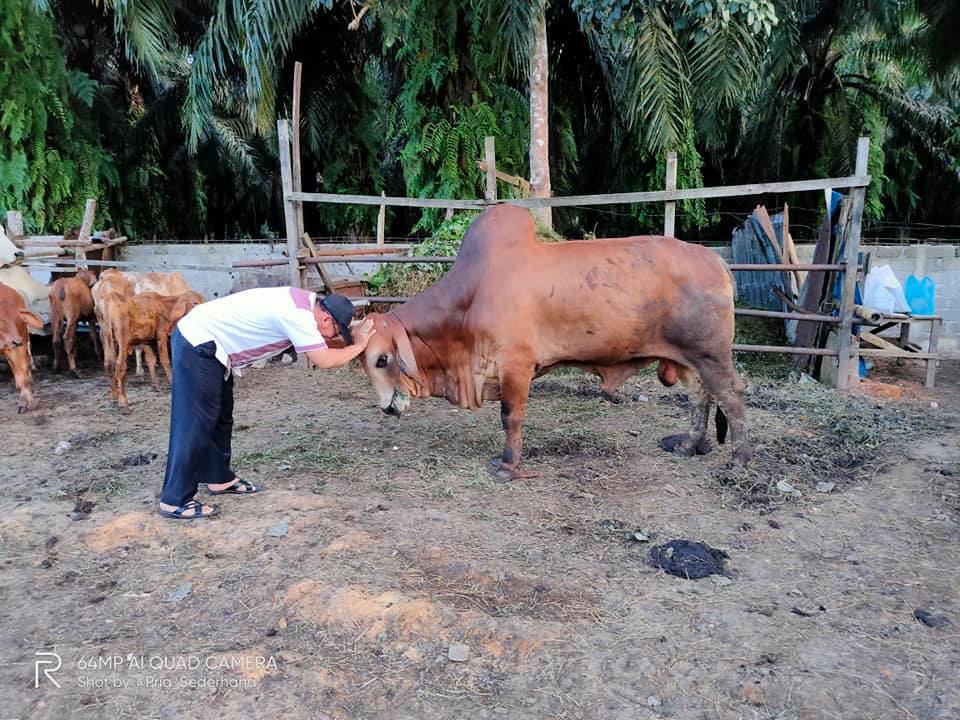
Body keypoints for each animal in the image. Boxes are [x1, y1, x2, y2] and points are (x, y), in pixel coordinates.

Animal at [0, 282, 44, 413]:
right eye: (1, 321)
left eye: (19, 320)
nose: (16, 340)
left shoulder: (17, 348)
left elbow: (22, 378)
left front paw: (29, 402)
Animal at [358, 205, 750, 479]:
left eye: (381, 359)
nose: (386, 407)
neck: (472, 296)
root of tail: (715, 259)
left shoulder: (516, 366)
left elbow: (510, 417)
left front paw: (509, 466)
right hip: (688, 359)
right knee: (699, 397)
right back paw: (689, 445)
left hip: (711, 355)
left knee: (732, 397)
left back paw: (737, 463)